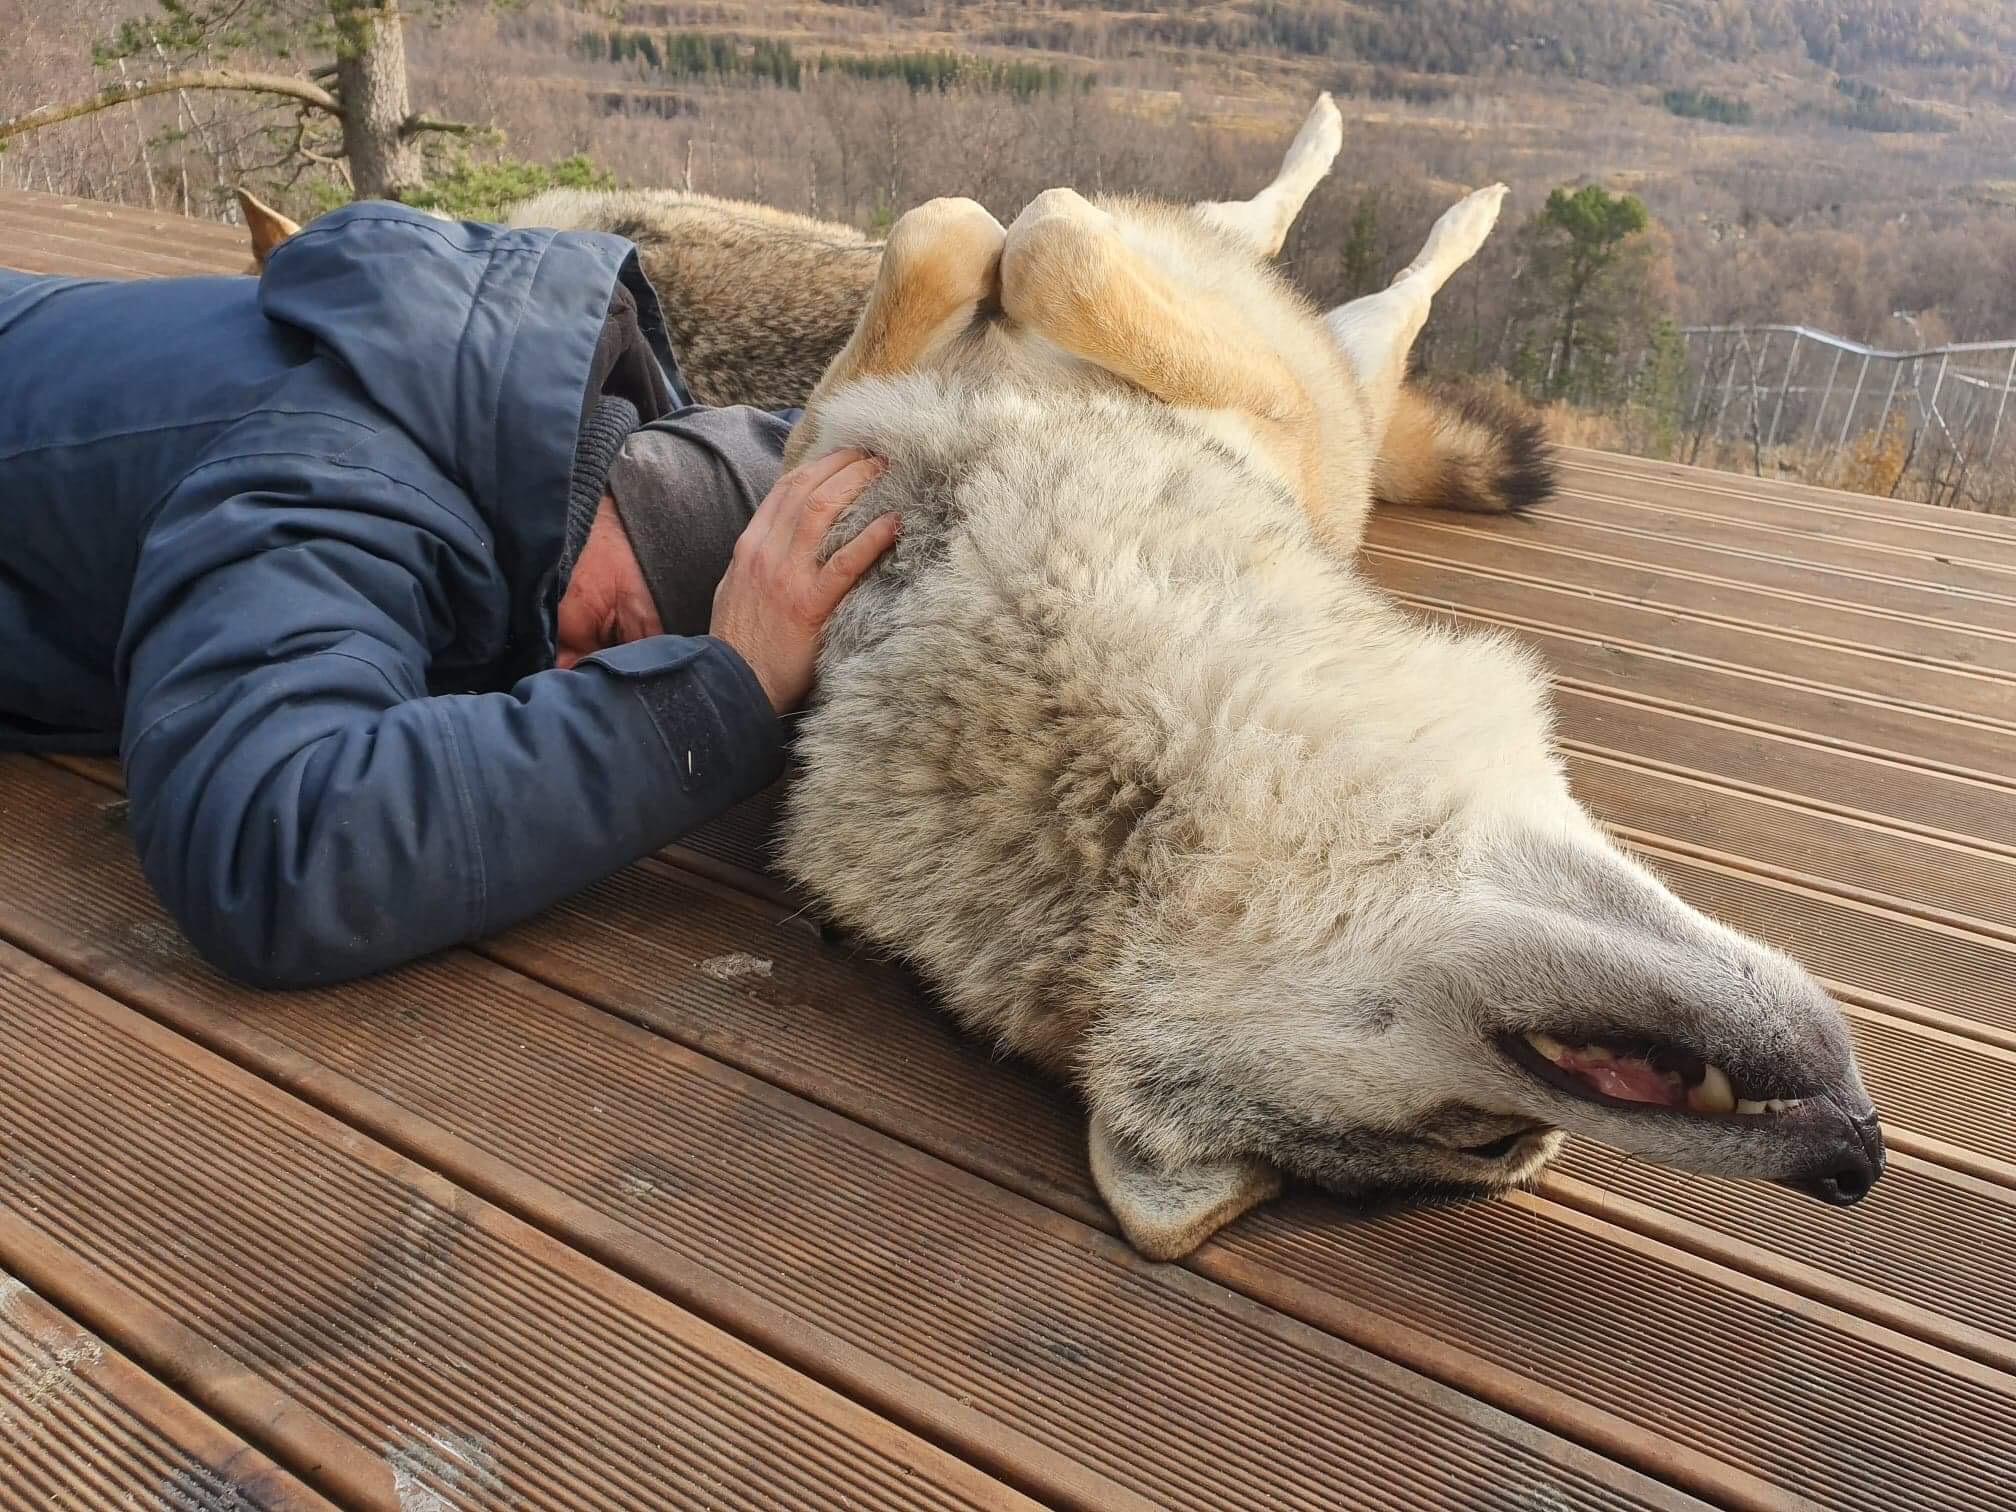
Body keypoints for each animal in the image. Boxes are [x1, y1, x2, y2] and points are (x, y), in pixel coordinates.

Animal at [766, 97, 1870, 1266]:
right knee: (1288, 245)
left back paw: (1407, 179)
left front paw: (1020, 244)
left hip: (1346, 356)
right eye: (1489, 1141)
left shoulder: (1262, 400)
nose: (1858, 1163)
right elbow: (968, 232)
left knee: (1331, 257)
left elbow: (1020, 236)